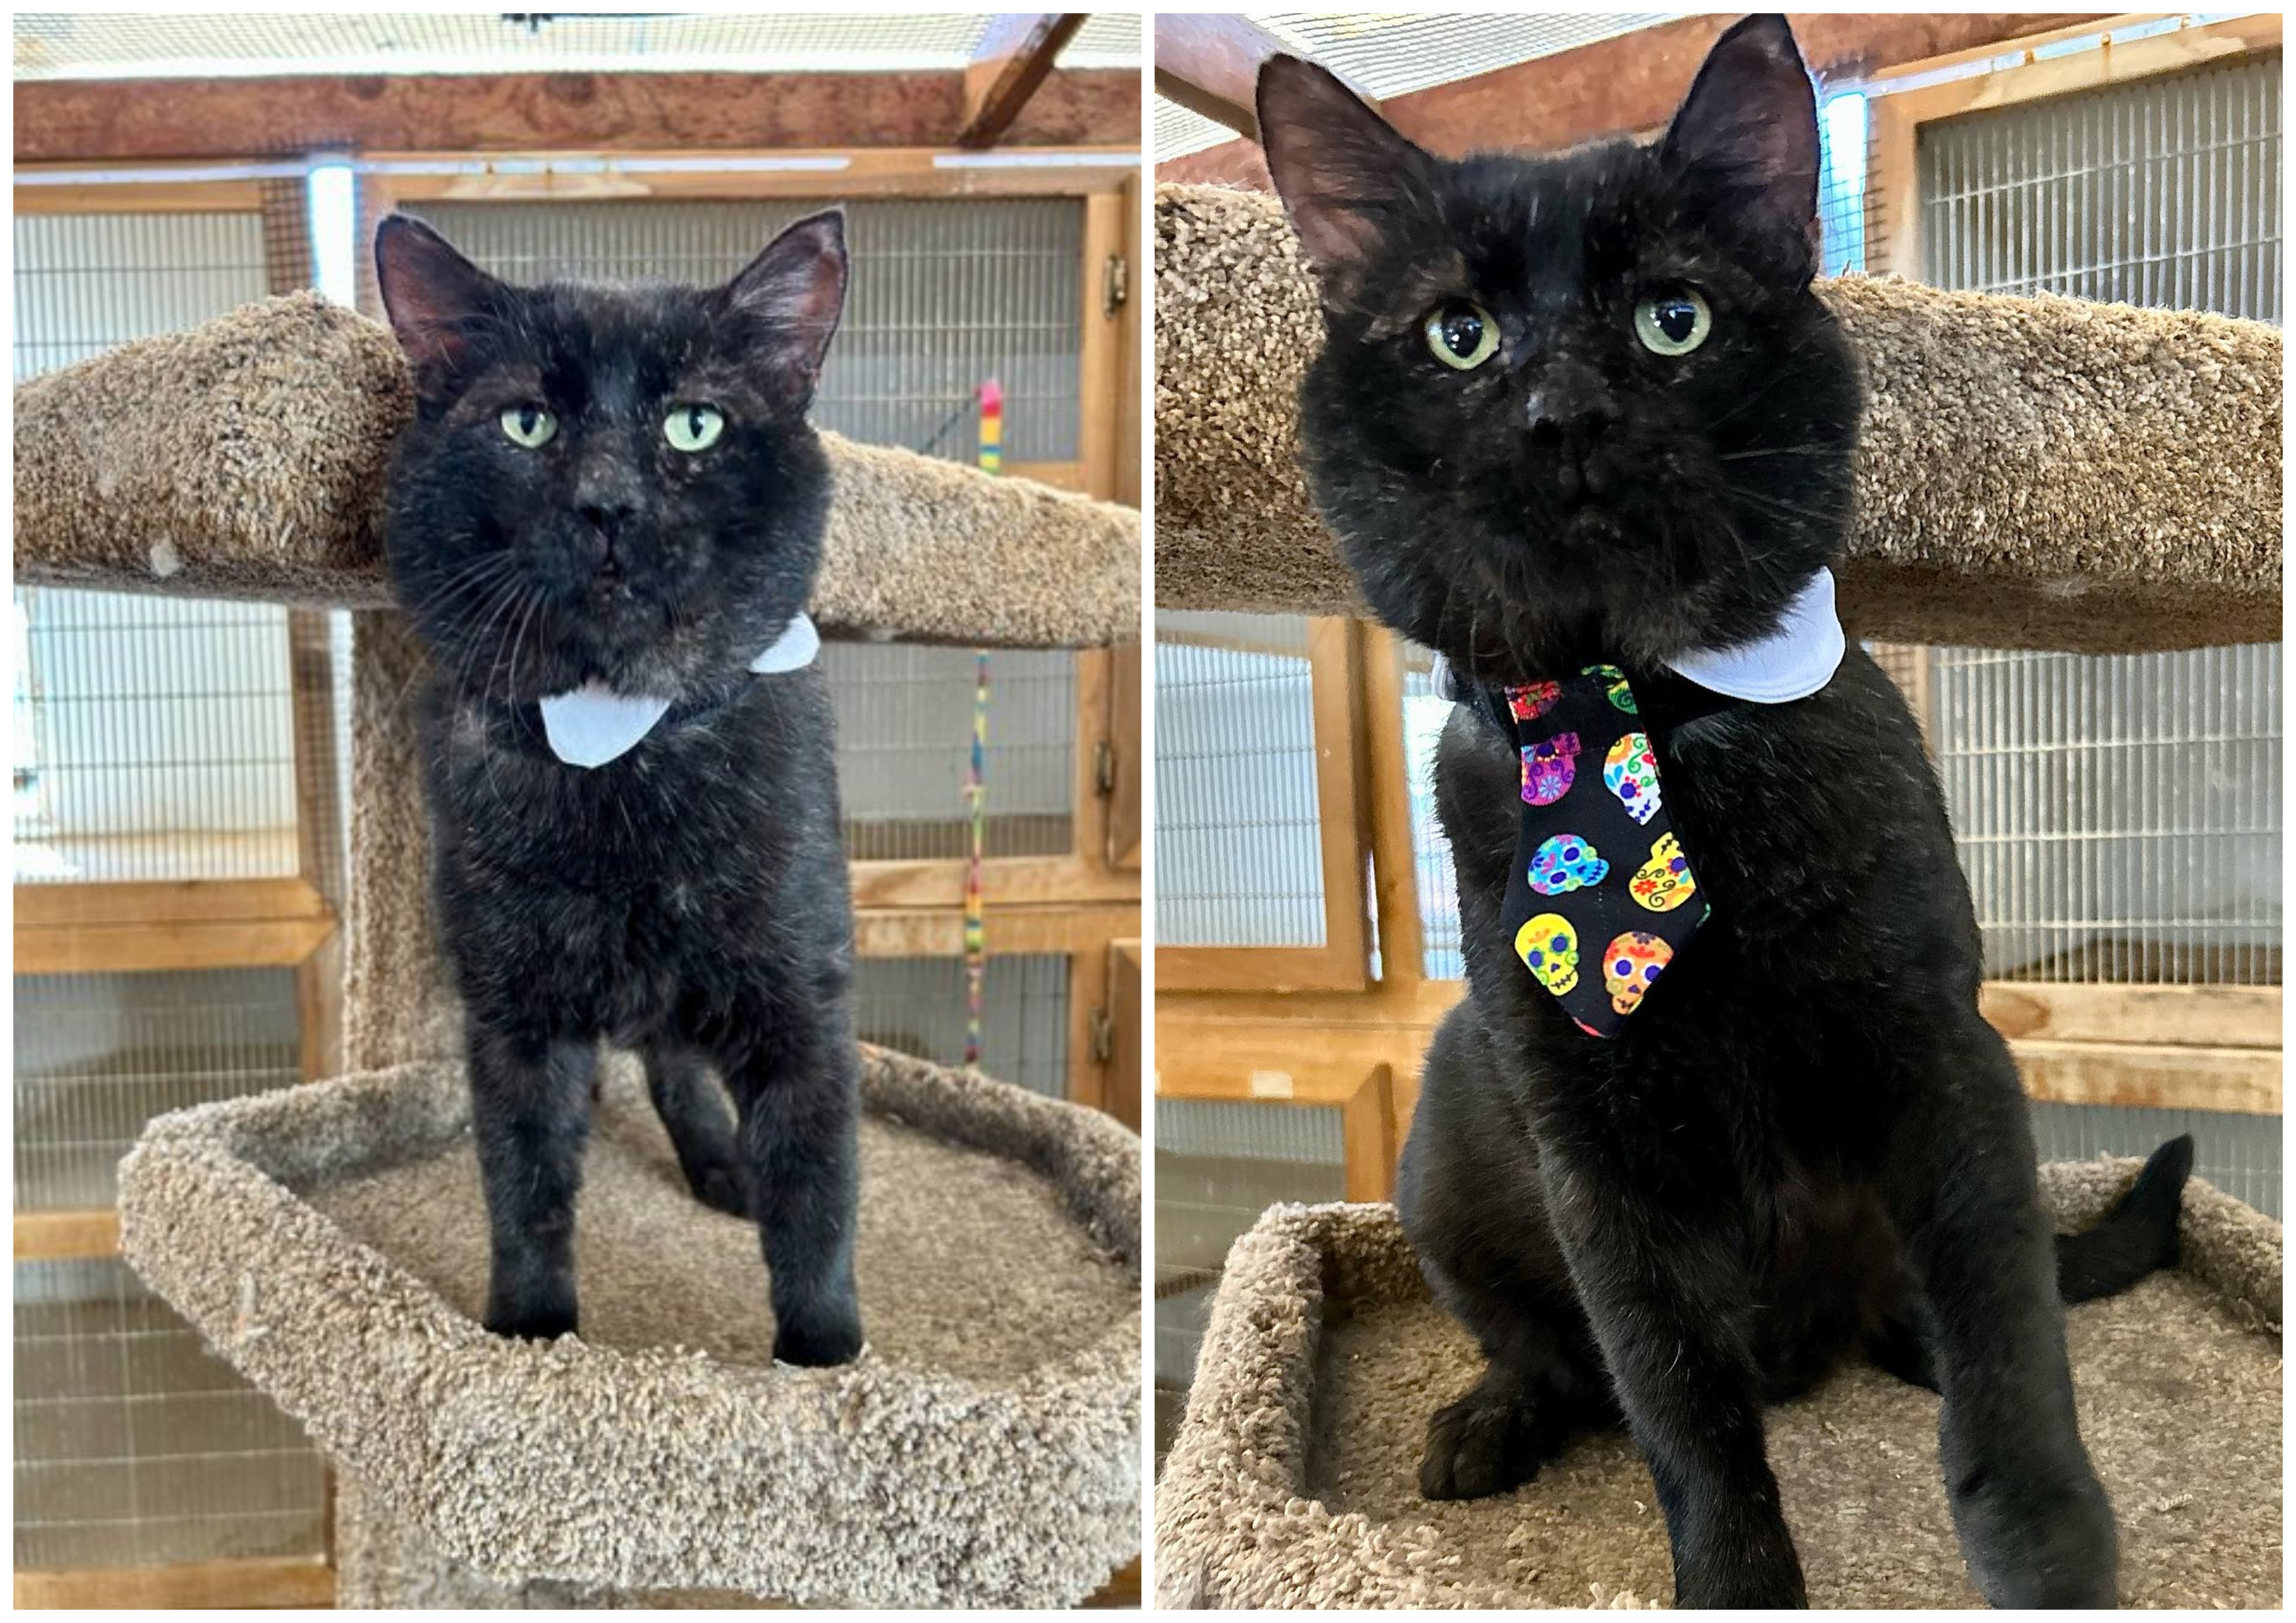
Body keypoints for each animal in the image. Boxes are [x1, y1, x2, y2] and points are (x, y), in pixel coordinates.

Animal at [376, 209, 863, 1368]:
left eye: (694, 425)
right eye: (527, 424)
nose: (609, 503)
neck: (622, 759)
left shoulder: (804, 1008)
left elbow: (816, 1201)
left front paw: (827, 1366)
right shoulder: (513, 1019)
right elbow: (525, 1188)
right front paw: (530, 1338)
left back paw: (724, 1168)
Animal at [1267, 12, 2195, 1616]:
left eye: (1671, 320)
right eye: (1459, 335)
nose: (1563, 412)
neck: (1648, 723)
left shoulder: (1941, 1054)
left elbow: (2009, 1334)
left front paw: (2044, 1545)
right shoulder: (1585, 1135)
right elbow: (1674, 1391)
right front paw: (1737, 1572)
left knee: (1938, 1308)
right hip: (1447, 1145)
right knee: (1555, 1354)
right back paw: (1486, 1421)